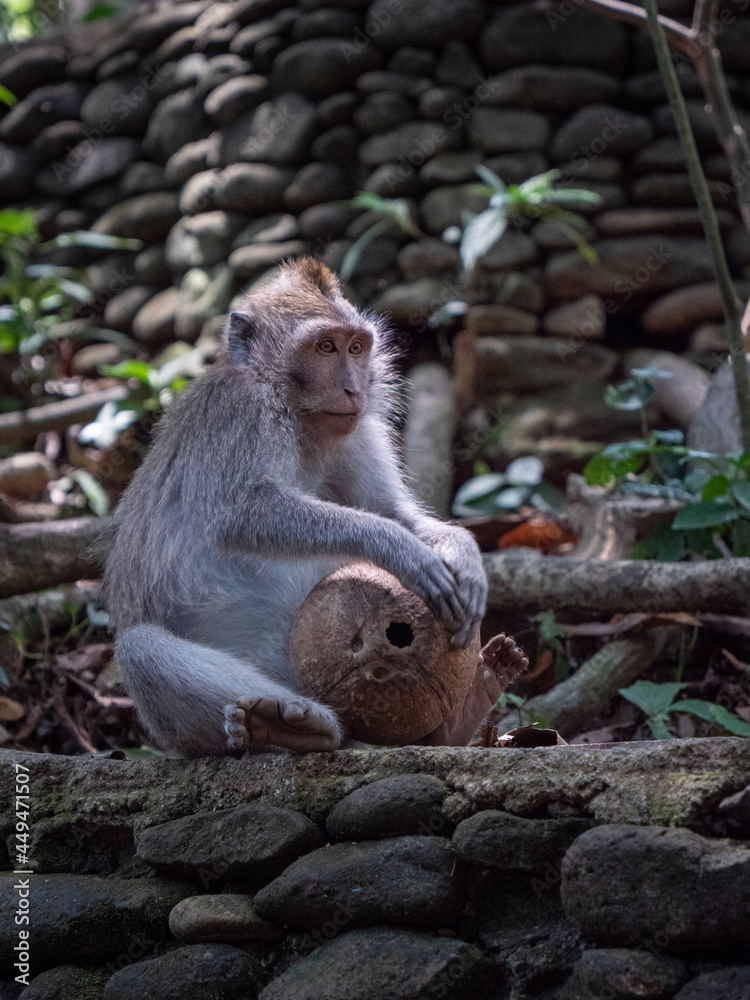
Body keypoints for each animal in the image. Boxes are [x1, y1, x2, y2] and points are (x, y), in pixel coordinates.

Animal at [106, 257, 523, 758]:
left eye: (356, 347)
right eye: (325, 347)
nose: (352, 389)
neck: (292, 410)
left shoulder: (356, 431)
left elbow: (390, 509)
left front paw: (462, 551)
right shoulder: (243, 407)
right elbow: (241, 513)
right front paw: (398, 548)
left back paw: (457, 719)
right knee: (140, 648)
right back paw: (297, 729)